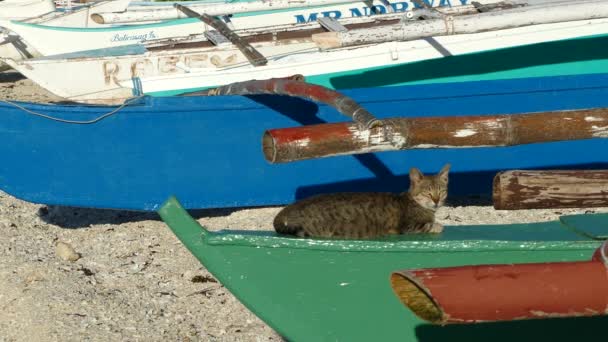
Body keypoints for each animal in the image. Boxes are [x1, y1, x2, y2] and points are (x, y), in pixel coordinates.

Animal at [274, 164, 448, 239]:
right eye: (427, 193)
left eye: (441, 191)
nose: (437, 200)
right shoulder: (407, 226)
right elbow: (428, 225)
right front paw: (437, 225)